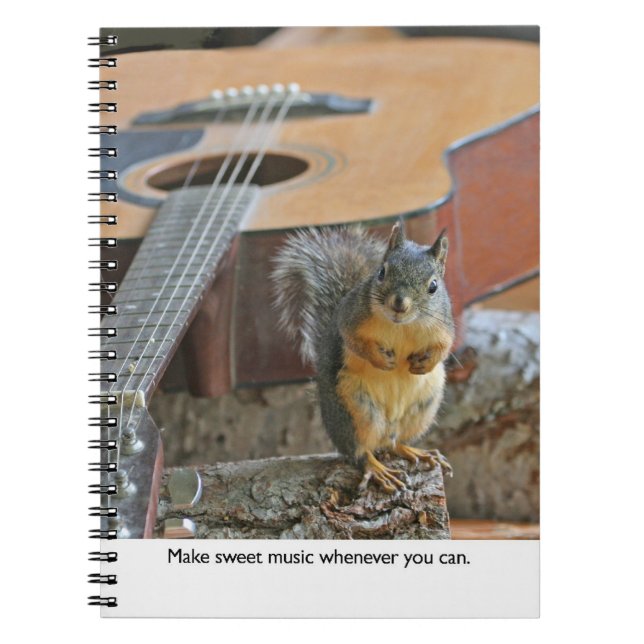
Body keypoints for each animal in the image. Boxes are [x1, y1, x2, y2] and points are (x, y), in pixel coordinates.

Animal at [271, 221, 455, 492]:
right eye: (382, 272)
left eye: (433, 286)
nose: (399, 303)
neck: (403, 325)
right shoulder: (350, 317)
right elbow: (354, 341)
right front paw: (382, 360)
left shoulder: (444, 324)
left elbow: (445, 346)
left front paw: (425, 363)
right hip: (356, 411)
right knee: (359, 451)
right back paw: (376, 468)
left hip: (422, 409)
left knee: (394, 443)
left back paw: (416, 451)